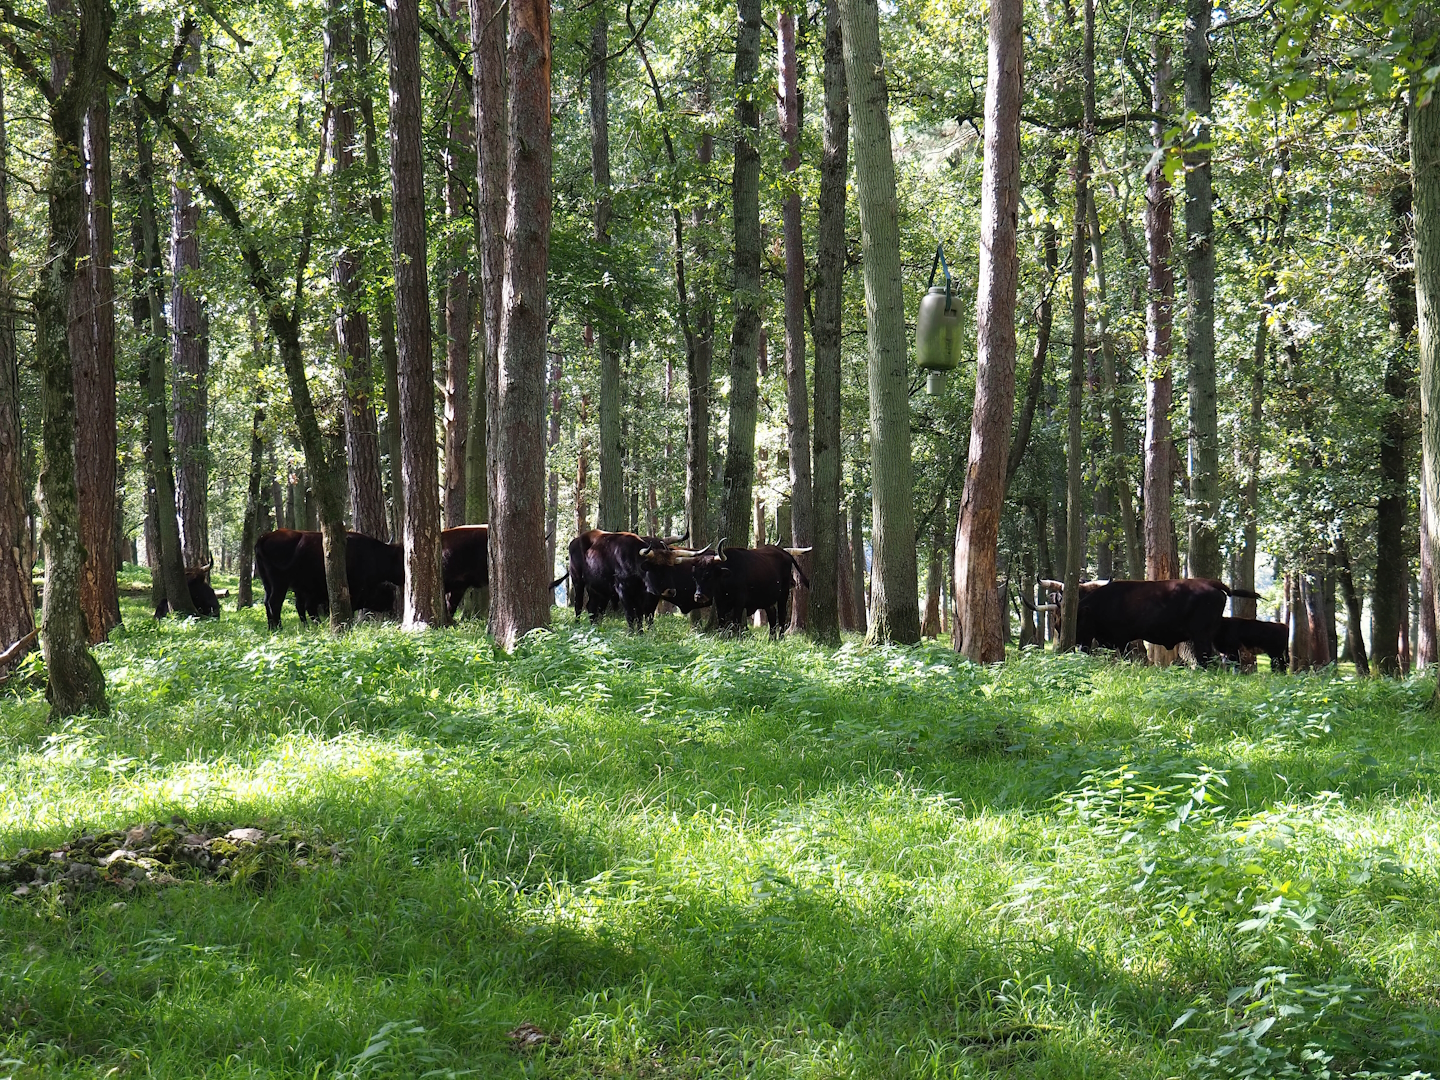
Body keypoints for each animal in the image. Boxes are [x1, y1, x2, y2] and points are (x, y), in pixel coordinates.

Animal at [657, 540, 810, 639]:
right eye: (694, 576)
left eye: (709, 574)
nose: (698, 596)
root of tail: (784, 553)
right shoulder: (719, 602)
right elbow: (721, 621)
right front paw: (721, 637)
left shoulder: (739, 601)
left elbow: (736, 621)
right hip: (767, 598)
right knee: (772, 616)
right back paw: (772, 640)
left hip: (783, 594)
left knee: (782, 616)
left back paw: (781, 638)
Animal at [1034, 577, 1261, 665]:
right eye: (1056, 620)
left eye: (1077, 620)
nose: (1064, 634)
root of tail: (1211, 583)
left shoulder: (1120, 639)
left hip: (1201, 635)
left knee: (1205, 656)